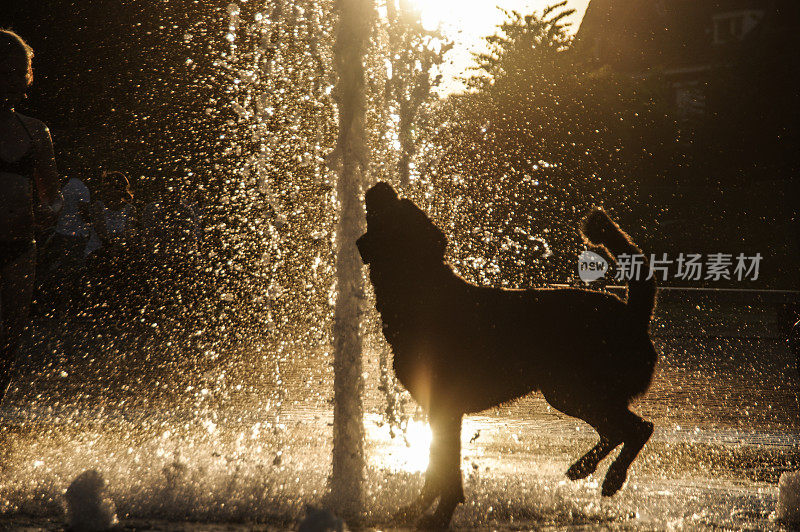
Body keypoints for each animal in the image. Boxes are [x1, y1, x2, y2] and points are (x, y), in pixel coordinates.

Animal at [356, 183, 656, 528]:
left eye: (393, 211)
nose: (380, 186)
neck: (421, 295)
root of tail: (634, 315)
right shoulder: (440, 410)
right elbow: (436, 468)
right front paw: (418, 508)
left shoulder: (446, 408)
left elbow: (445, 470)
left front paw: (439, 515)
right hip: (570, 392)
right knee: (619, 430)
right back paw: (584, 469)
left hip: (573, 390)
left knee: (637, 428)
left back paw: (611, 478)